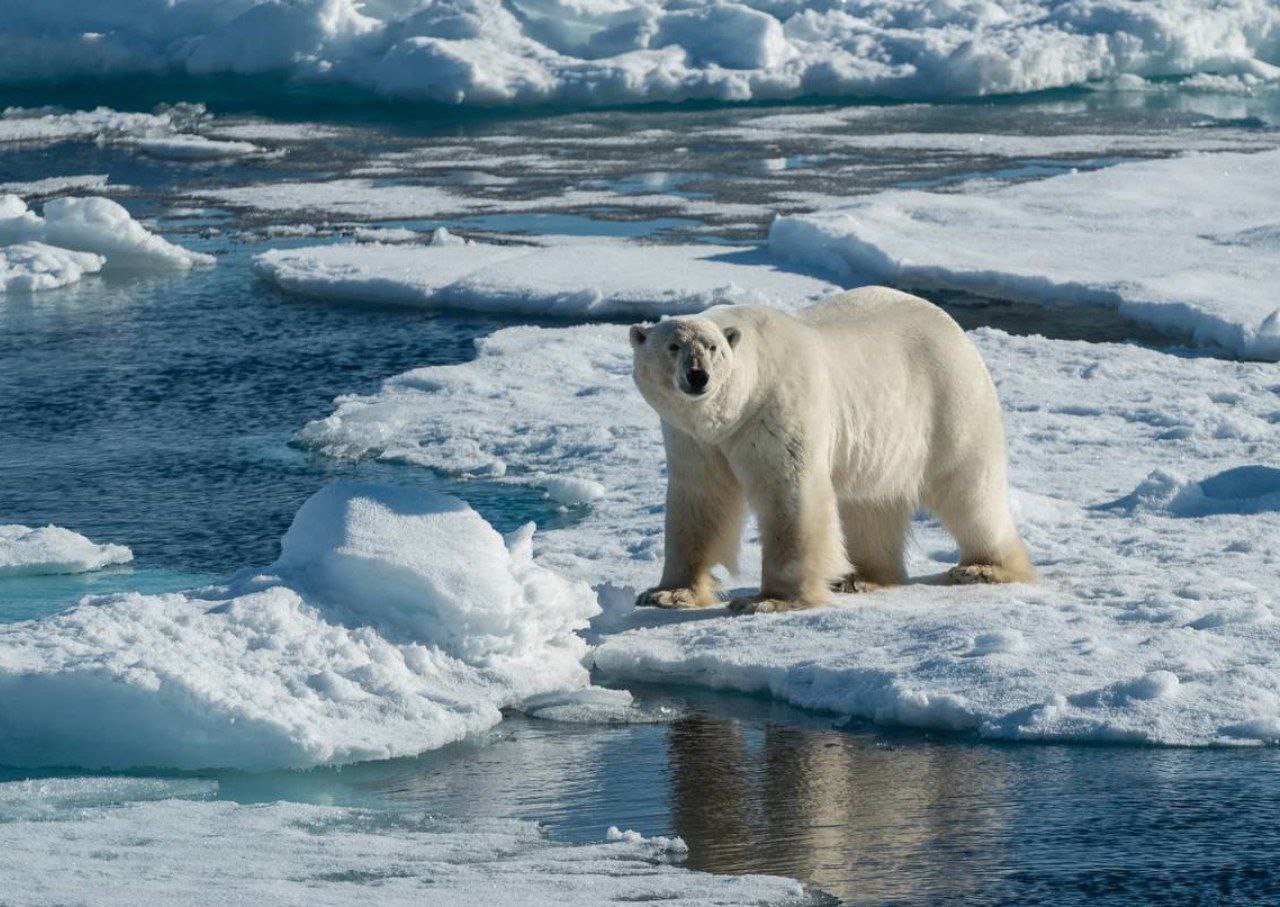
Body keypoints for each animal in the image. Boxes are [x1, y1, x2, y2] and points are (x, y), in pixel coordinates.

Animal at [624, 287, 1034, 616]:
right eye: (673, 347)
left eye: (713, 348)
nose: (698, 376)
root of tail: (952, 326)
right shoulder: (692, 438)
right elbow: (700, 499)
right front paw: (668, 593)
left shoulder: (777, 408)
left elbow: (790, 496)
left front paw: (770, 599)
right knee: (871, 502)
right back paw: (862, 577)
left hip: (949, 401)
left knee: (969, 490)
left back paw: (984, 567)